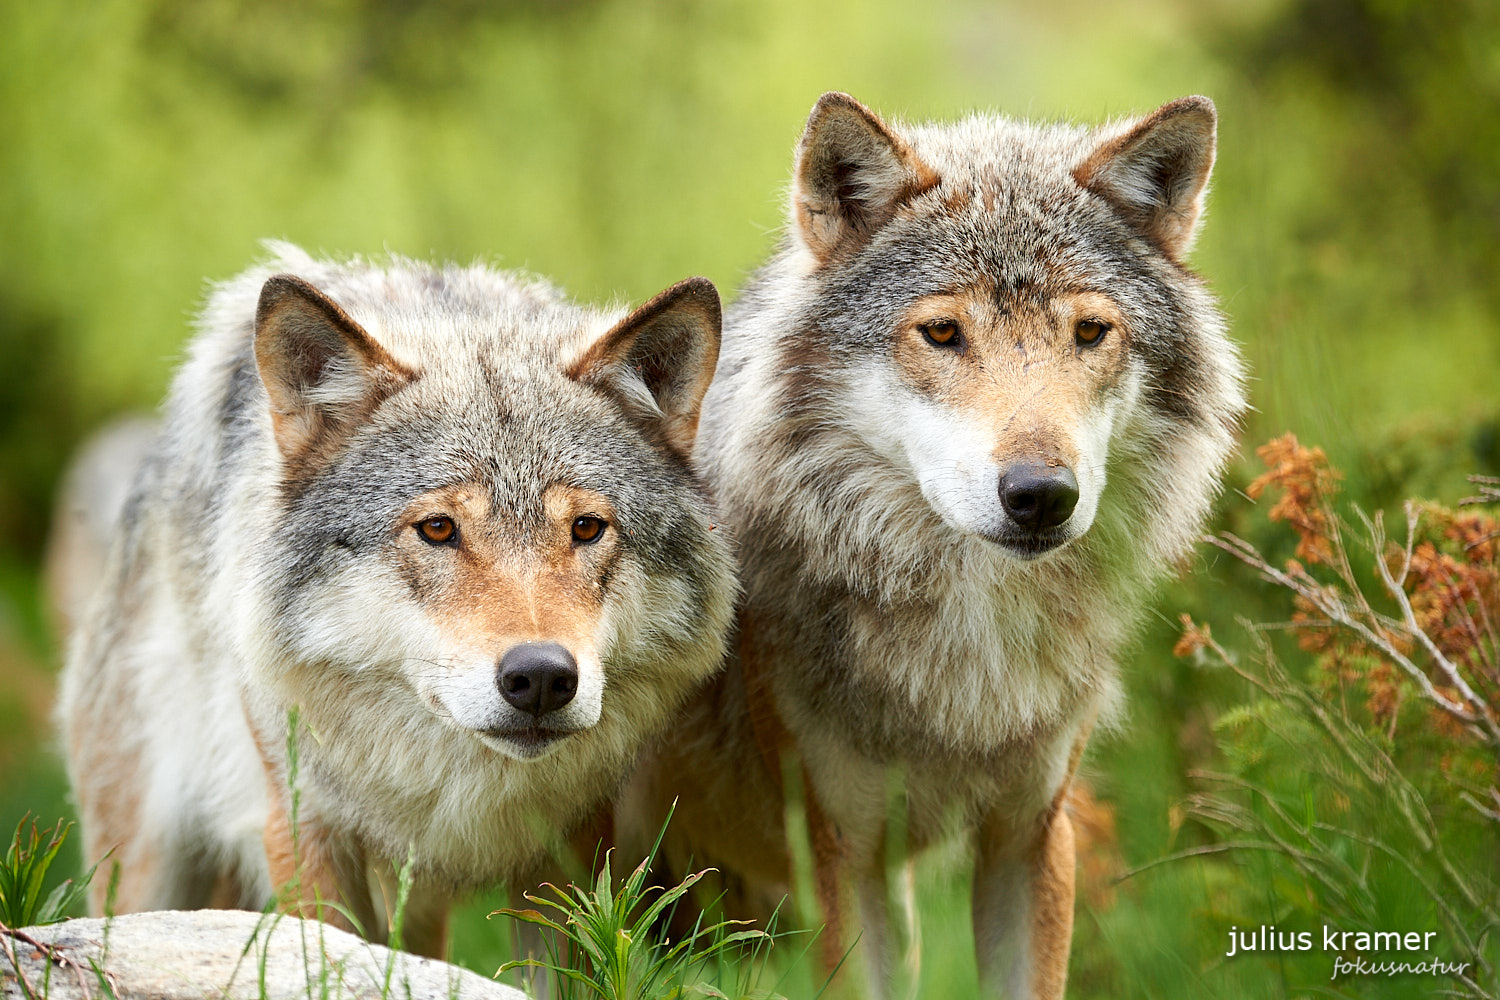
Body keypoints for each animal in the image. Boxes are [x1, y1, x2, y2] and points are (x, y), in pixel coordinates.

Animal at [55, 242, 735, 953]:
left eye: (586, 529)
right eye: (437, 529)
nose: (543, 677)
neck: (456, 795)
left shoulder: (571, 849)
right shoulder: (303, 830)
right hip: (144, 872)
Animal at [615, 89, 1248, 995]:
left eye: (1090, 333)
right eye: (943, 333)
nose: (1041, 496)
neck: (965, 659)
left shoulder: (1030, 835)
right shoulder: (841, 857)